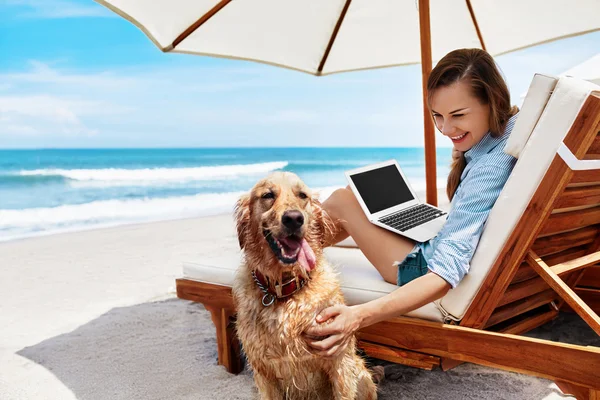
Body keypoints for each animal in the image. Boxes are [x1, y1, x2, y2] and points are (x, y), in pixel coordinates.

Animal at [232, 172, 378, 400]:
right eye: (268, 195)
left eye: (302, 195)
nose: (293, 218)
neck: (284, 289)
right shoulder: (263, 371)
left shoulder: (339, 362)